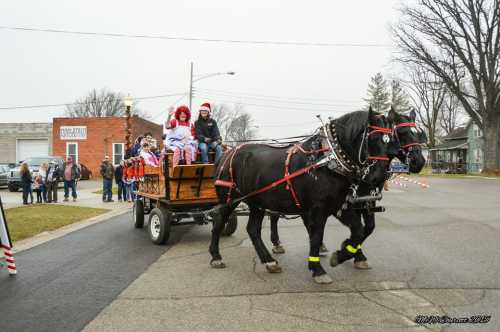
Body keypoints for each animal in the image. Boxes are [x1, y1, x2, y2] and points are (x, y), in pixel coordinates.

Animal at [209, 108, 392, 282]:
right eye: (372, 138)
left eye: (390, 140)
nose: (378, 177)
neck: (327, 160)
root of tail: (226, 154)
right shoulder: (318, 208)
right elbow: (316, 235)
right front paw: (318, 269)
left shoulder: (338, 206)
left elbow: (359, 231)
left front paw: (342, 253)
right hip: (230, 199)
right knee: (219, 222)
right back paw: (216, 257)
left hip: (257, 203)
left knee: (253, 230)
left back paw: (269, 261)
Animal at [268, 109, 428, 270]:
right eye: (401, 133)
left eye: (418, 133)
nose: (419, 161)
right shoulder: (344, 203)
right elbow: (358, 228)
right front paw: (347, 251)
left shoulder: (366, 201)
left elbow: (368, 227)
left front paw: (353, 252)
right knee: (276, 215)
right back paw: (277, 244)